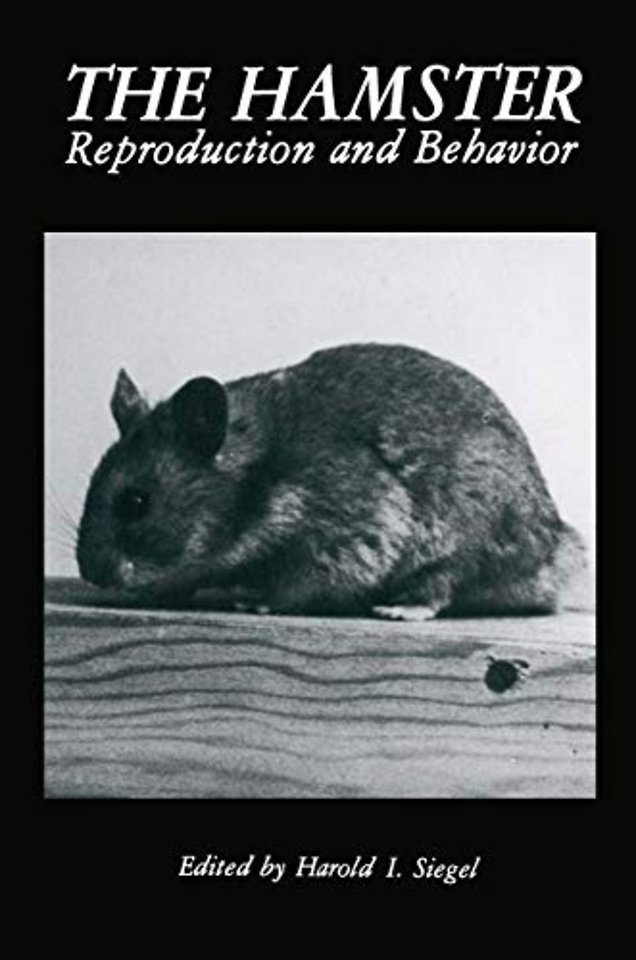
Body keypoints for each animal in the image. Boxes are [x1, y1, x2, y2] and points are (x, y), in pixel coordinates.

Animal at [76, 342, 587, 619]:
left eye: (134, 502)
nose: (90, 575)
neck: (258, 478)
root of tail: (554, 551)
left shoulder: (347, 537)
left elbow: (296, 588)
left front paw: (255, 603)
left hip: (461, 538)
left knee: (442, 587)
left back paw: (399, 608)